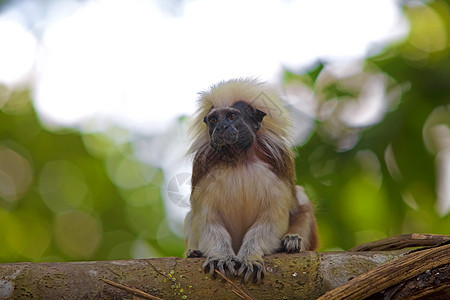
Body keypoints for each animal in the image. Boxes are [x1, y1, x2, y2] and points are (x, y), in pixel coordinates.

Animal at [184, 78, 320, 282]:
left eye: (232, 116)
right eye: (214, 119)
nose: (221, 128)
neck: (239, 160)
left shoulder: (277, 167)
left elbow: (272, 221)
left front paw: (250, 257)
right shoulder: (203, 170)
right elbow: (208, 221)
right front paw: (221, 256)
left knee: (303, 205)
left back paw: (292, 241)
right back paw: (193, 252)